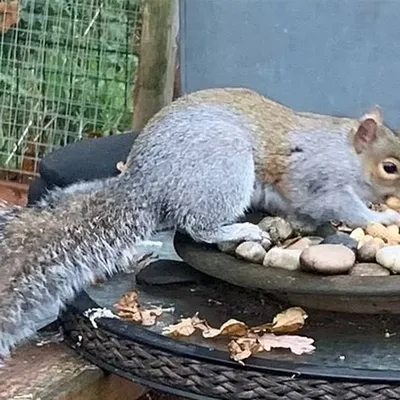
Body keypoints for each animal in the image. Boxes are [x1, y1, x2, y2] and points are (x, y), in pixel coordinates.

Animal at [0, 86, 400, 356]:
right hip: (223, 167)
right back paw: (239, 228)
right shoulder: (317, 177)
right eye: (390, 167)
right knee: (198, 225)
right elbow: (341, 205)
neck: (347, 153)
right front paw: (385, 214)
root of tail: (145, 184)